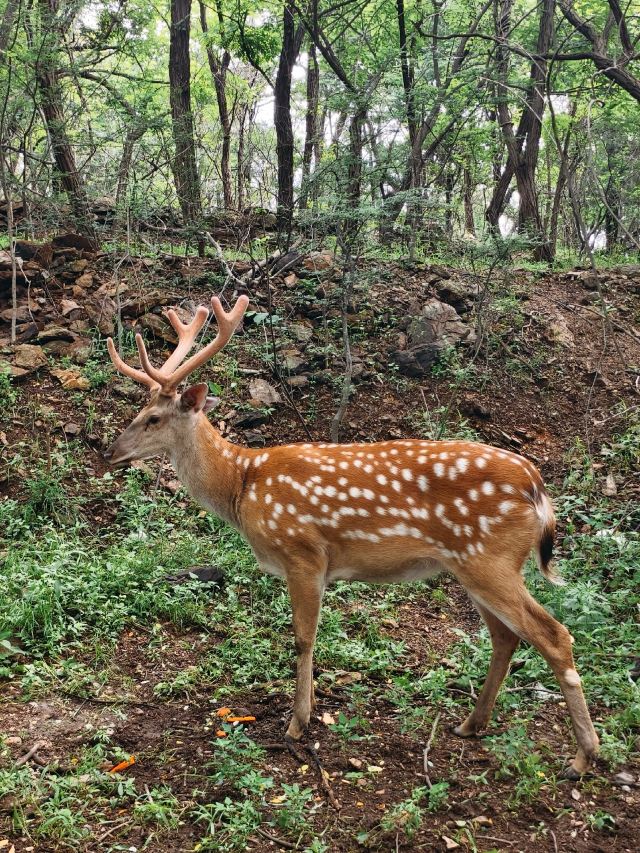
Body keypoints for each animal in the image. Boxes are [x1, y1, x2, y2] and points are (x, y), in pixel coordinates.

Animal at [103, 294, 599, 780]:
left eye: (153, 418)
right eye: (139, 412)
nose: (109, 451)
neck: (242, 485)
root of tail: (536, 486)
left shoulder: (303, 553)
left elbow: (303, 637)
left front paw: (297, 723)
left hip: (490, 558)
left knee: (555, 635)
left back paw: (582, 758)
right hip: (475, 565)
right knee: (506, 637)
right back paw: (470, 725)